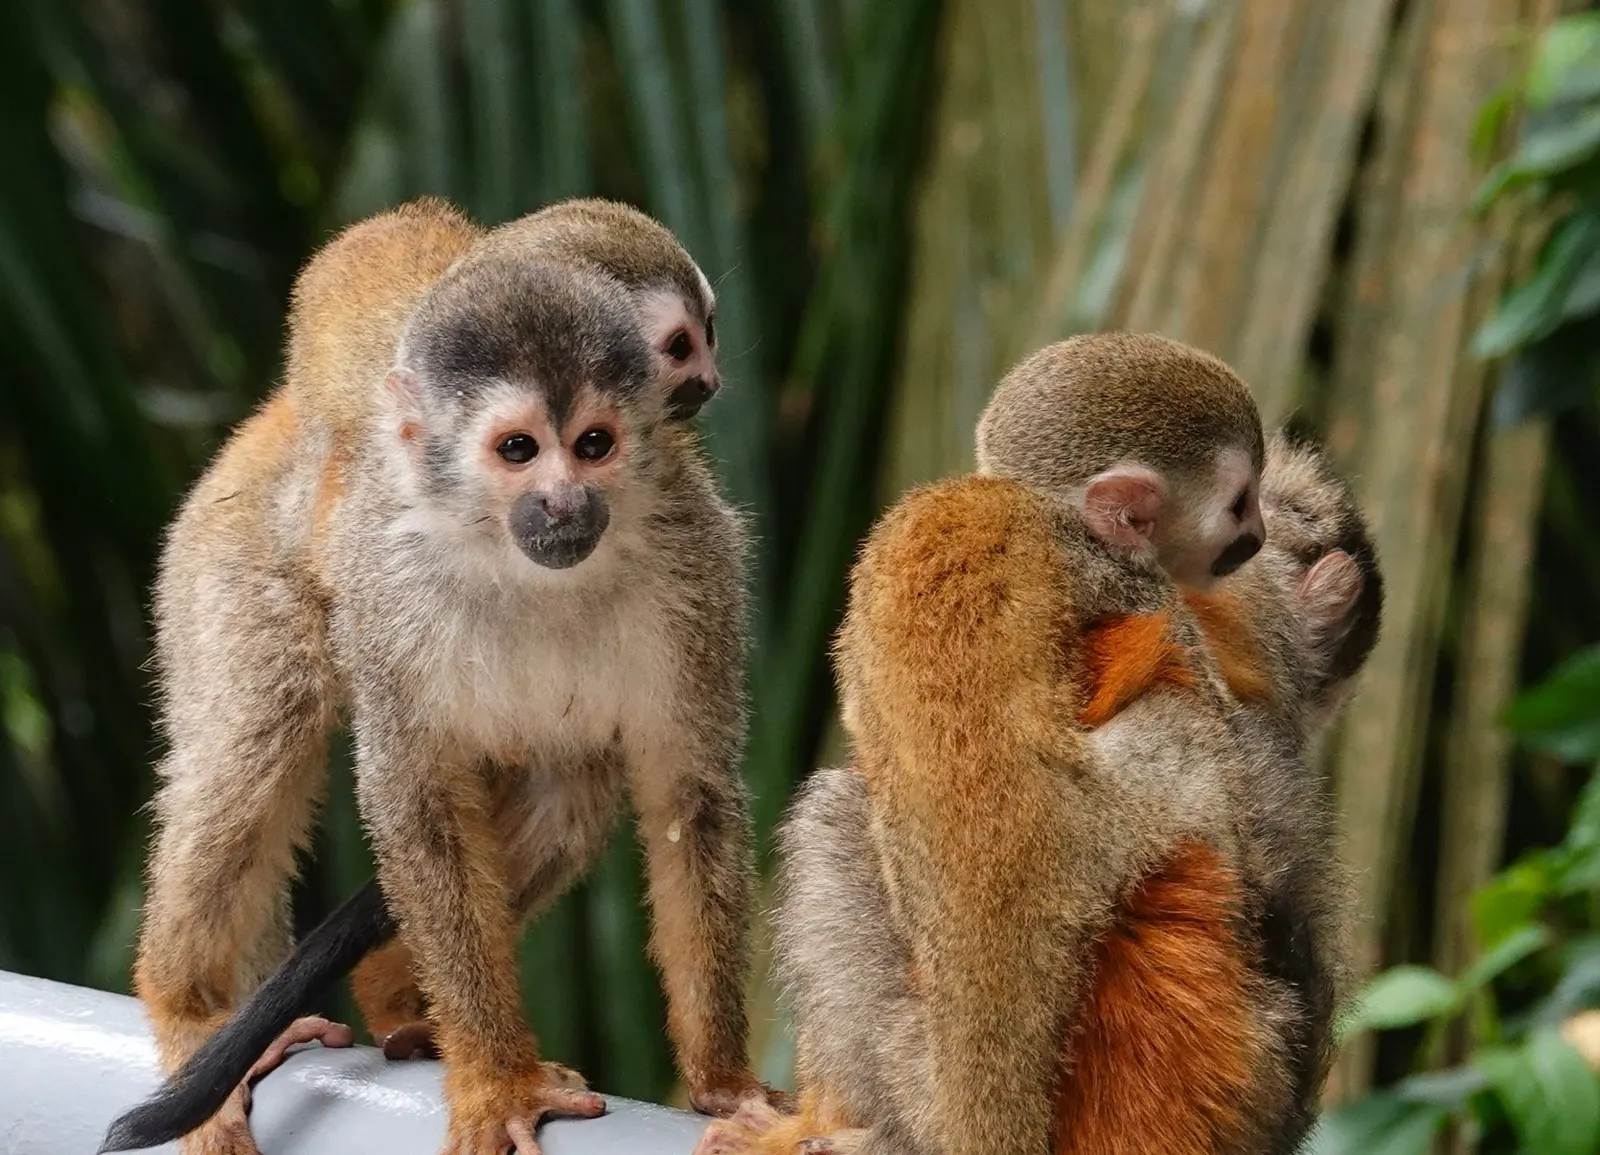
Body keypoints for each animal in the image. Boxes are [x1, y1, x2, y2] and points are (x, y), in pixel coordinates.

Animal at [105, 216, 773, 1155]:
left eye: (595, 445)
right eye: (519, 450)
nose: (564, 503)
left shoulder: (699, 561)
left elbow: (689, 791)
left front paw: (722, 1082)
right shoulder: (388, 581)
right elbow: (417, 797)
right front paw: (496, 1080)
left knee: (573, 780)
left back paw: (394, 994)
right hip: (224, 560)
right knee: (257, 740)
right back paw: (187, 1002)